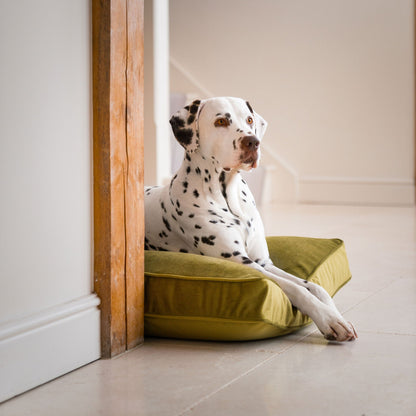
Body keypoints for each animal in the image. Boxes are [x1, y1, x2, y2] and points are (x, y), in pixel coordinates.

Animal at [144, 96, 358, 342]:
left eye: (248, 119)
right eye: (220, 121)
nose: (253, 142)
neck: (228, 197)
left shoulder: (264, 262)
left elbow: (314, 286)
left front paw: (335, 315)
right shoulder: (242, 262)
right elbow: (295, 289)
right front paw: (328, 319)